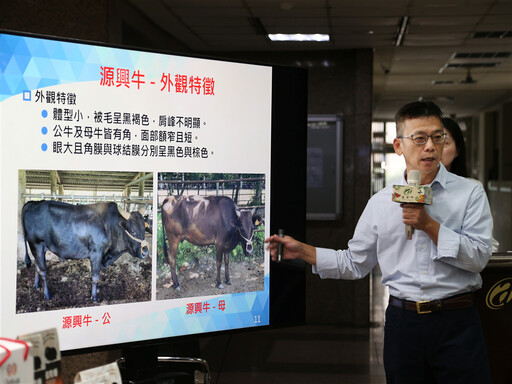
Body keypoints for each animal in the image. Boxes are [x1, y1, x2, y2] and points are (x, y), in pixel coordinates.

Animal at [22, 200, 150, 302]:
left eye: (144, 230)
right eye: (132, 231)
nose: (145, 252)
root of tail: (33, 202)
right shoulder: (96, 253)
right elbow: (95, 276)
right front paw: (94, 297)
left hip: (38, 248)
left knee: (37, 267)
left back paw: (37, 286)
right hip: (37, 245)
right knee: (43, 271)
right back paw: (47, 295)